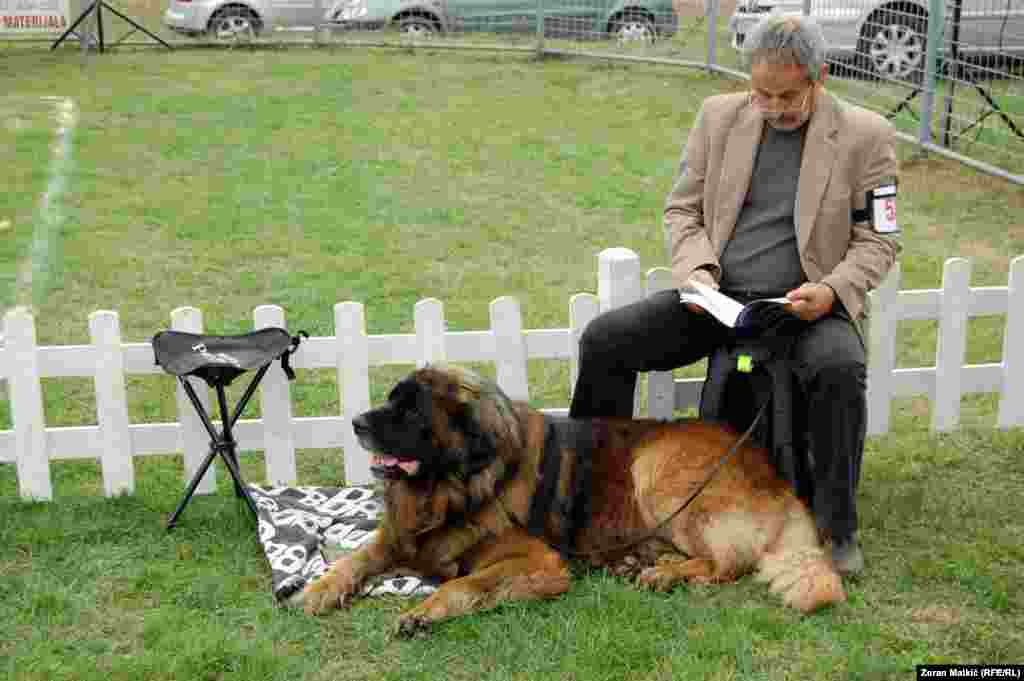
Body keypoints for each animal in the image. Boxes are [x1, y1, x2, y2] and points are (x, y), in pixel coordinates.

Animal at [303, 364, 845, 635]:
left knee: (727, 562)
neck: (460, 487)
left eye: (411, 411)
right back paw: (644, 563)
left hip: (655, 467)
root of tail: (776, 475)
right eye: (390, 399)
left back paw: (663, 573)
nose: (356, 423)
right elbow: (356, 558)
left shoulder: (537, 561)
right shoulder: (399, 537)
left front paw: (423, 612)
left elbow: (464, 583)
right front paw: (321, 587)